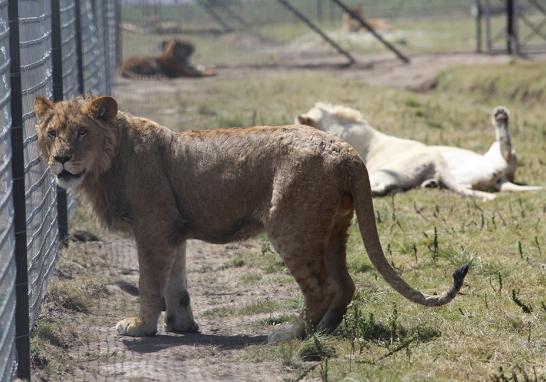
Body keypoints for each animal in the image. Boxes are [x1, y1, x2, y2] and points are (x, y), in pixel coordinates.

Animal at [35, 95, 468, 344]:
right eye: (52, 133)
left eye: (82, 132)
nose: (61, 158)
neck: (108, 163)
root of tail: (346, 150)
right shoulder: (172, 231)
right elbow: (176, 284)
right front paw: (182, 325)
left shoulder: (153, 230)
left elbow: (148, 284)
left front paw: (140, 328)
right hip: (332, 229)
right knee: (345, 284)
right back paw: (325, 332)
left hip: (290, 227)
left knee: (322, 289)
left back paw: (291, 336)